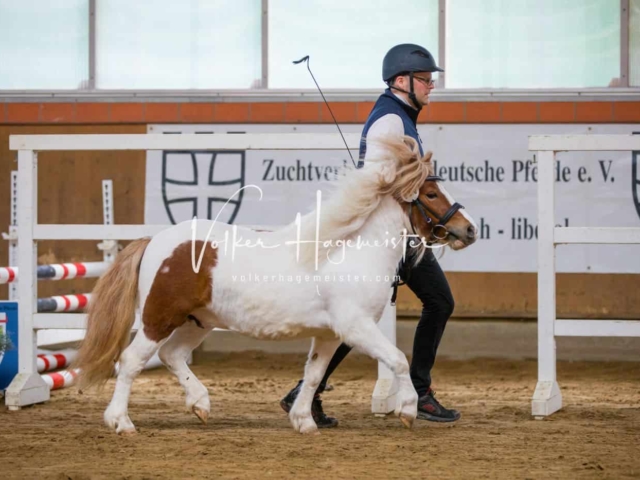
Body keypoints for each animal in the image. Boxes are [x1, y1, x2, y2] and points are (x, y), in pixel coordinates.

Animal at [74, 135, 476, 436]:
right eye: (431, 195)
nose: (469, 229)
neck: (354, 249)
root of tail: (153, 241)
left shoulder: (330, 334)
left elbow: (313, 375)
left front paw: (304, 421)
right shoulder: (356, 327)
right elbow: (397, 359)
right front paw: (407, 410)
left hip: (198, 321)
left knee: (172, 355)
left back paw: (201, 405)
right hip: (159, 318)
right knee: (131, 361)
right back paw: (121, 422)